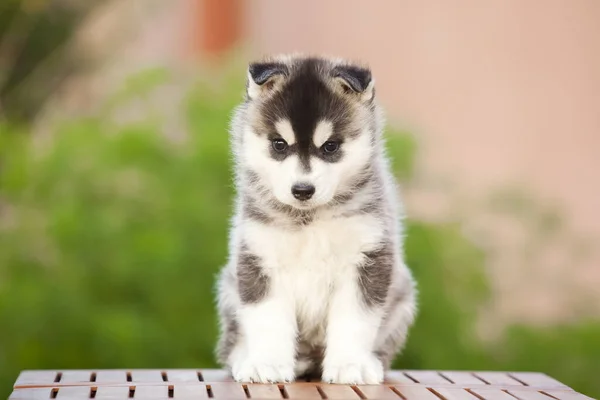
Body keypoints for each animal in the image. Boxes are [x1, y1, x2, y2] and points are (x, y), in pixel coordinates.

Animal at [216, 54, 418, 384]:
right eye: (279, 144)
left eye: (331, 146)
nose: (302, 190)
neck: (308, 220)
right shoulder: (259, 258)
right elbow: (267, 320)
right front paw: (267, 363)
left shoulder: (367, 259)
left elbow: (355, 321)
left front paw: (350, 364)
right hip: (229, 289)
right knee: (230, 345)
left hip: (402, 297)